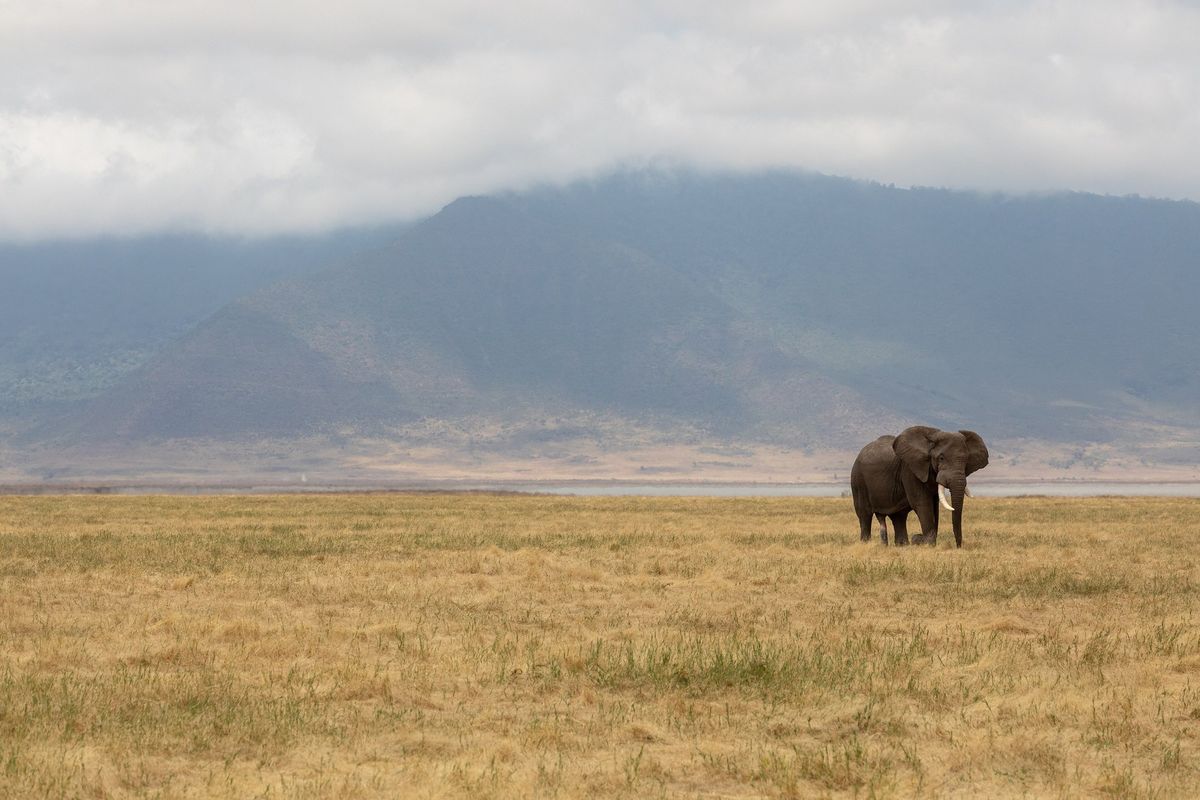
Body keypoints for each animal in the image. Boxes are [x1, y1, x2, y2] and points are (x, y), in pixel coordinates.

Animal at [850, 426, 989, 547]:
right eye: (941, 458)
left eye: (966, 460)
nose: (958, 546)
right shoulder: (910, 469)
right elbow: (922, 503)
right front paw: (928, 543)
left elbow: (934, 506)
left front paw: (927, 542)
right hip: (858, 480)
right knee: (864, 515)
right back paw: (866, 543)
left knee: (898, 517)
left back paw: (902, 545)